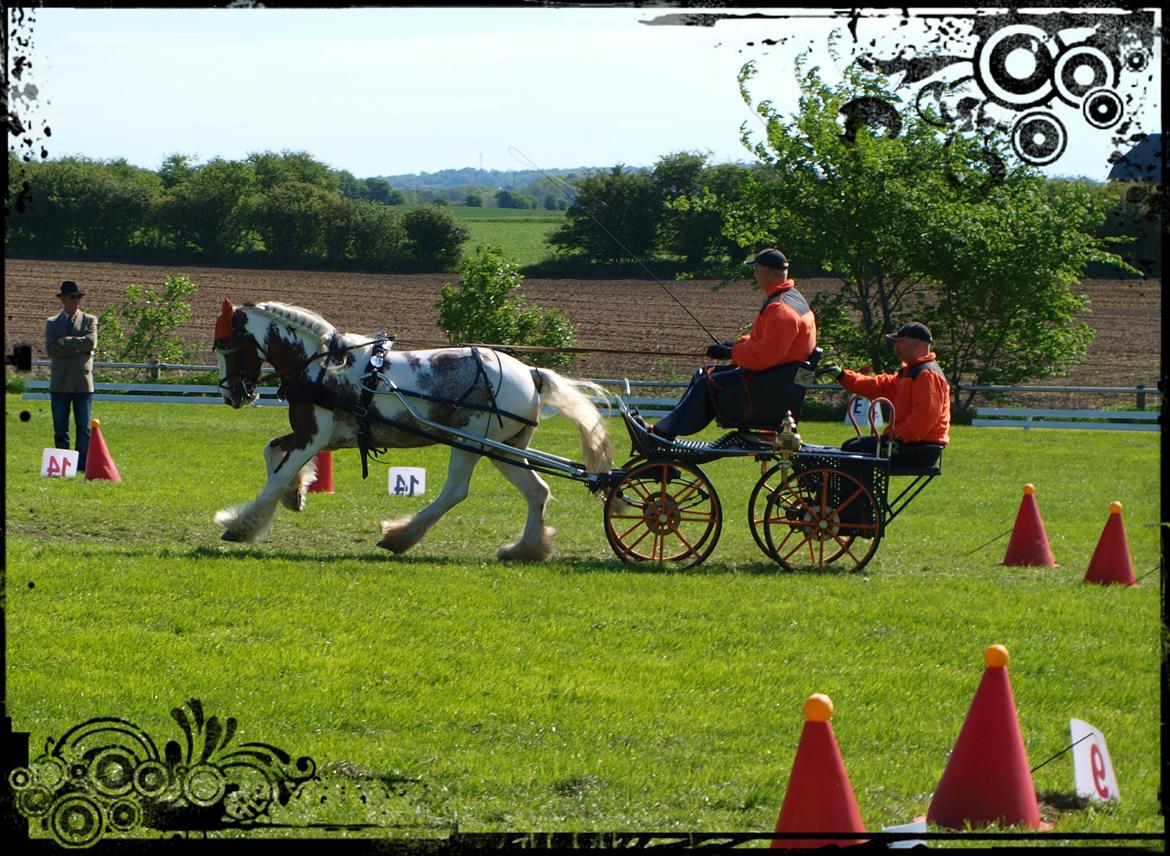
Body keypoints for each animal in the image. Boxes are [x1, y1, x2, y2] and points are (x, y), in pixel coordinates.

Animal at [212, 301, 613, 561]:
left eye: (225, 344)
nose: (230, 395)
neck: (322, 365)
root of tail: (530, 372)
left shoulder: (313, 434)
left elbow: (276, 478)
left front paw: (241, 525)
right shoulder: (313, 435)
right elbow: (271, 452)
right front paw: (296, 495)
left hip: (469, 442)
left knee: (455, 492)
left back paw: (399, 537)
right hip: (504, 448)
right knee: (537, 492)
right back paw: (525, 549)